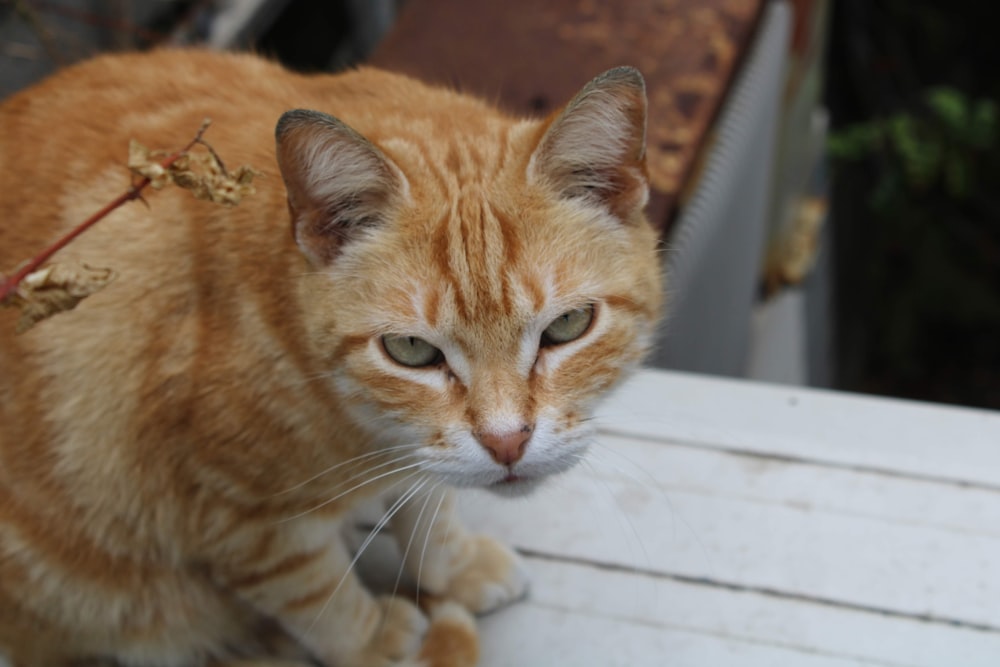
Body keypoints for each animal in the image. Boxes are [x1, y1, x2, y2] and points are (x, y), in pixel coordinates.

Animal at [0, 49, 664, 664]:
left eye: (567, 326)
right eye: (411, 350)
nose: (507, 444)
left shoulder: (416, 452)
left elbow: (430, 509)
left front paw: (454, 567)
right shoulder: (238, 521)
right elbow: (318, 596)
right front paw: (375, 642)